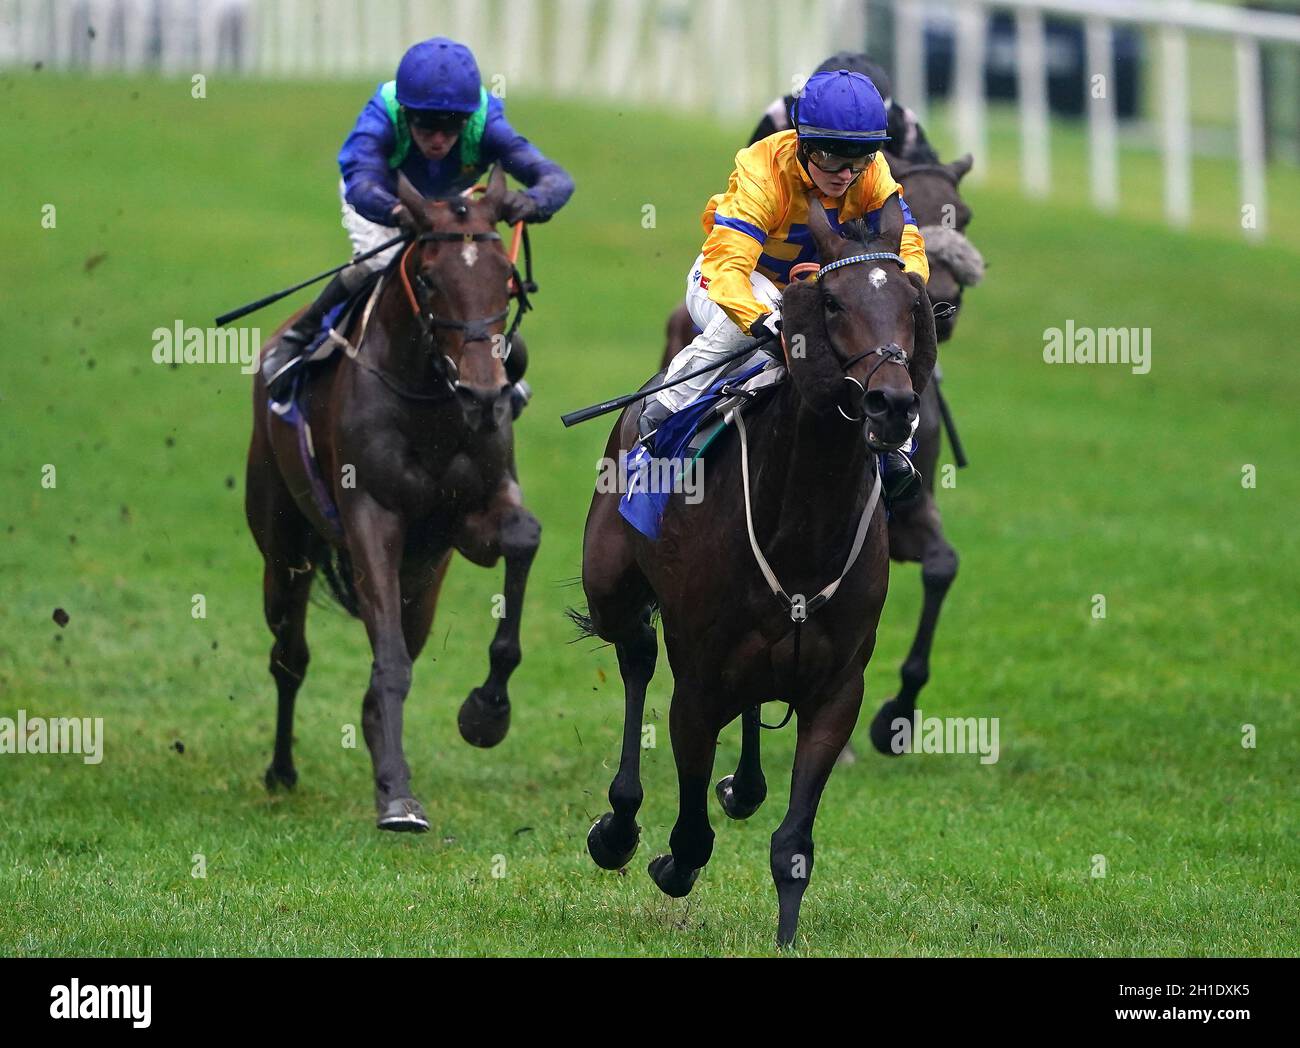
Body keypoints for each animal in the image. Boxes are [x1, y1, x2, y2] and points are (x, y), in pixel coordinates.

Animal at [244, 167, 538, 832]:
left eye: (504, 280)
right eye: (428, 278)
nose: (485, 395)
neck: (431, 403)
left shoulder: (467, 519)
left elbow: (522, 537)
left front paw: (487, 711)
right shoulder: (371, 519)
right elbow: (392, 664)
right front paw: (399, 798)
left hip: (424, 579)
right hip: (284, 548)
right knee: (289, 656)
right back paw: (282, 770)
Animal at [577, 192, 935, 946]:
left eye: (912, 304)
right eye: (831, 301)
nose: (893, 404)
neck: (801, 531)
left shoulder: (837, 690)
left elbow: (793, 843)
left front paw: (786, 934)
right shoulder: (698, 685)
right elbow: (689, 832)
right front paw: (666, 861)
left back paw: (742, 785)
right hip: (610, 589)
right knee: (635, 656)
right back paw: (618, 825)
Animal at [660, 152, 977, 759]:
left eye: (963, 215)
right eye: (832, 303)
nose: (944, 308)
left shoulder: (909, 509)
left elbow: (942, 567)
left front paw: (898, 717)